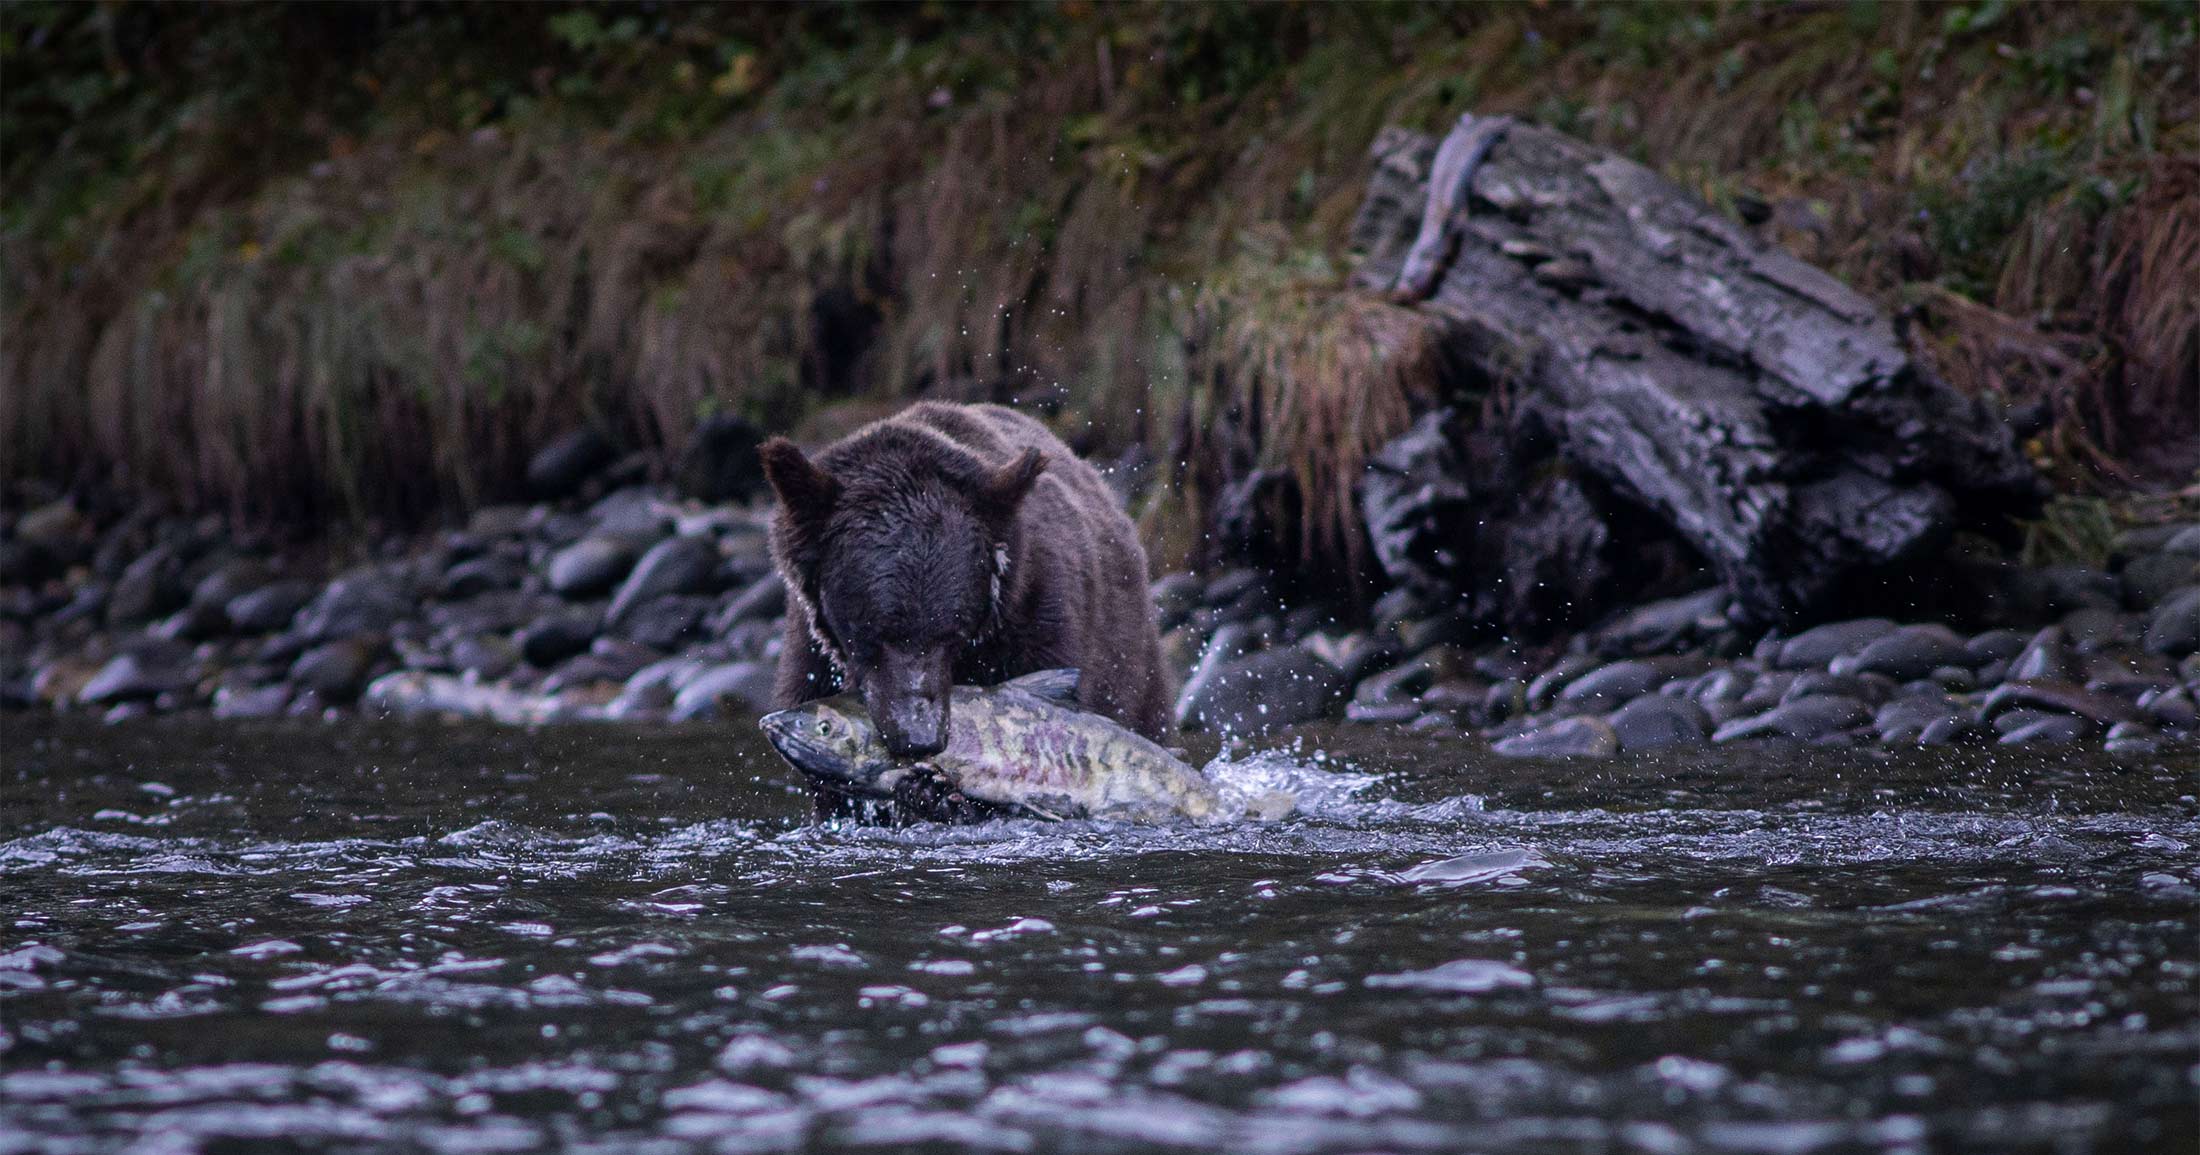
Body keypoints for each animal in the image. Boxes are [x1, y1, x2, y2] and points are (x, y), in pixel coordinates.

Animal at [759, 401, 1171, 791]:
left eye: (952, 634)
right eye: (871, 635)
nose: (919, 738)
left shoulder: (1041, 622)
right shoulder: (810, 656)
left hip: (1133, 662)